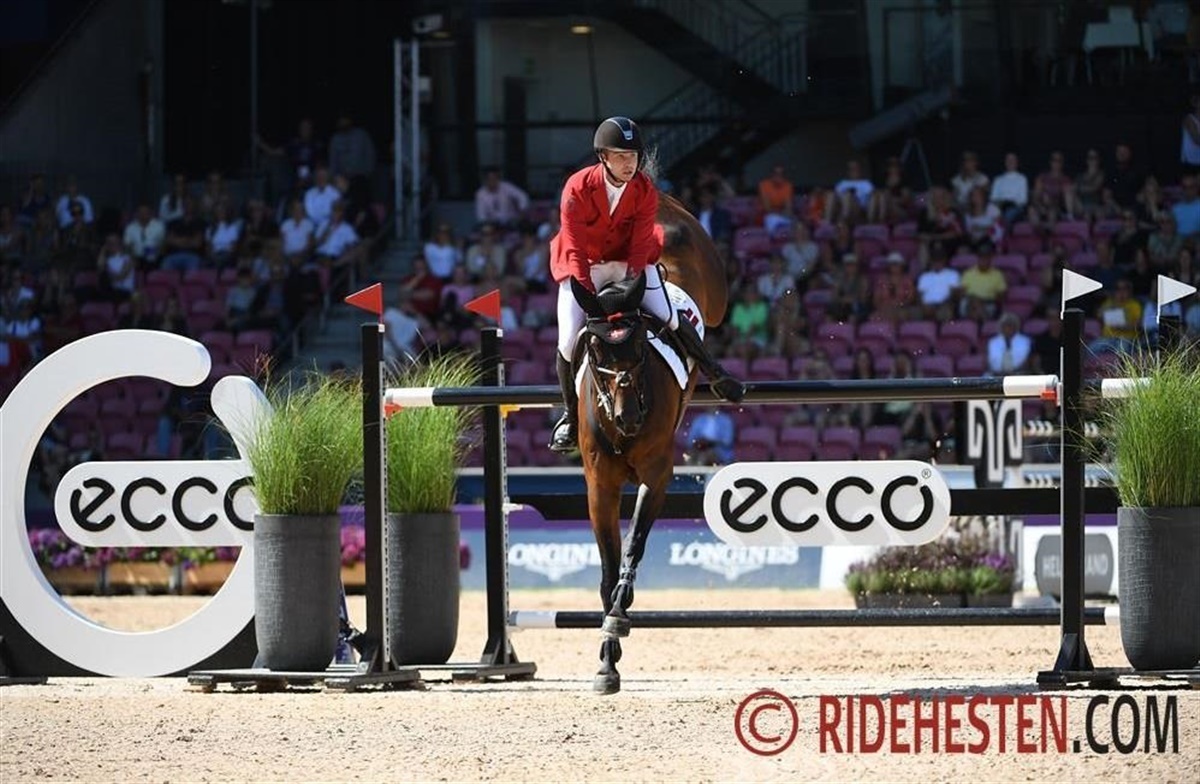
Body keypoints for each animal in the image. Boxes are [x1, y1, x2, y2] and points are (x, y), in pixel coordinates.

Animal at [567, 192, 729, 694]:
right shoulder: (599, 487)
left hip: (713, 293)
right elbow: (606, 566)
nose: (628, 417)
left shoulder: (656, 477)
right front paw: (607, 660)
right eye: (595, 349)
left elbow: (633, 548)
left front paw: (618, 619)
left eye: (640, 341)